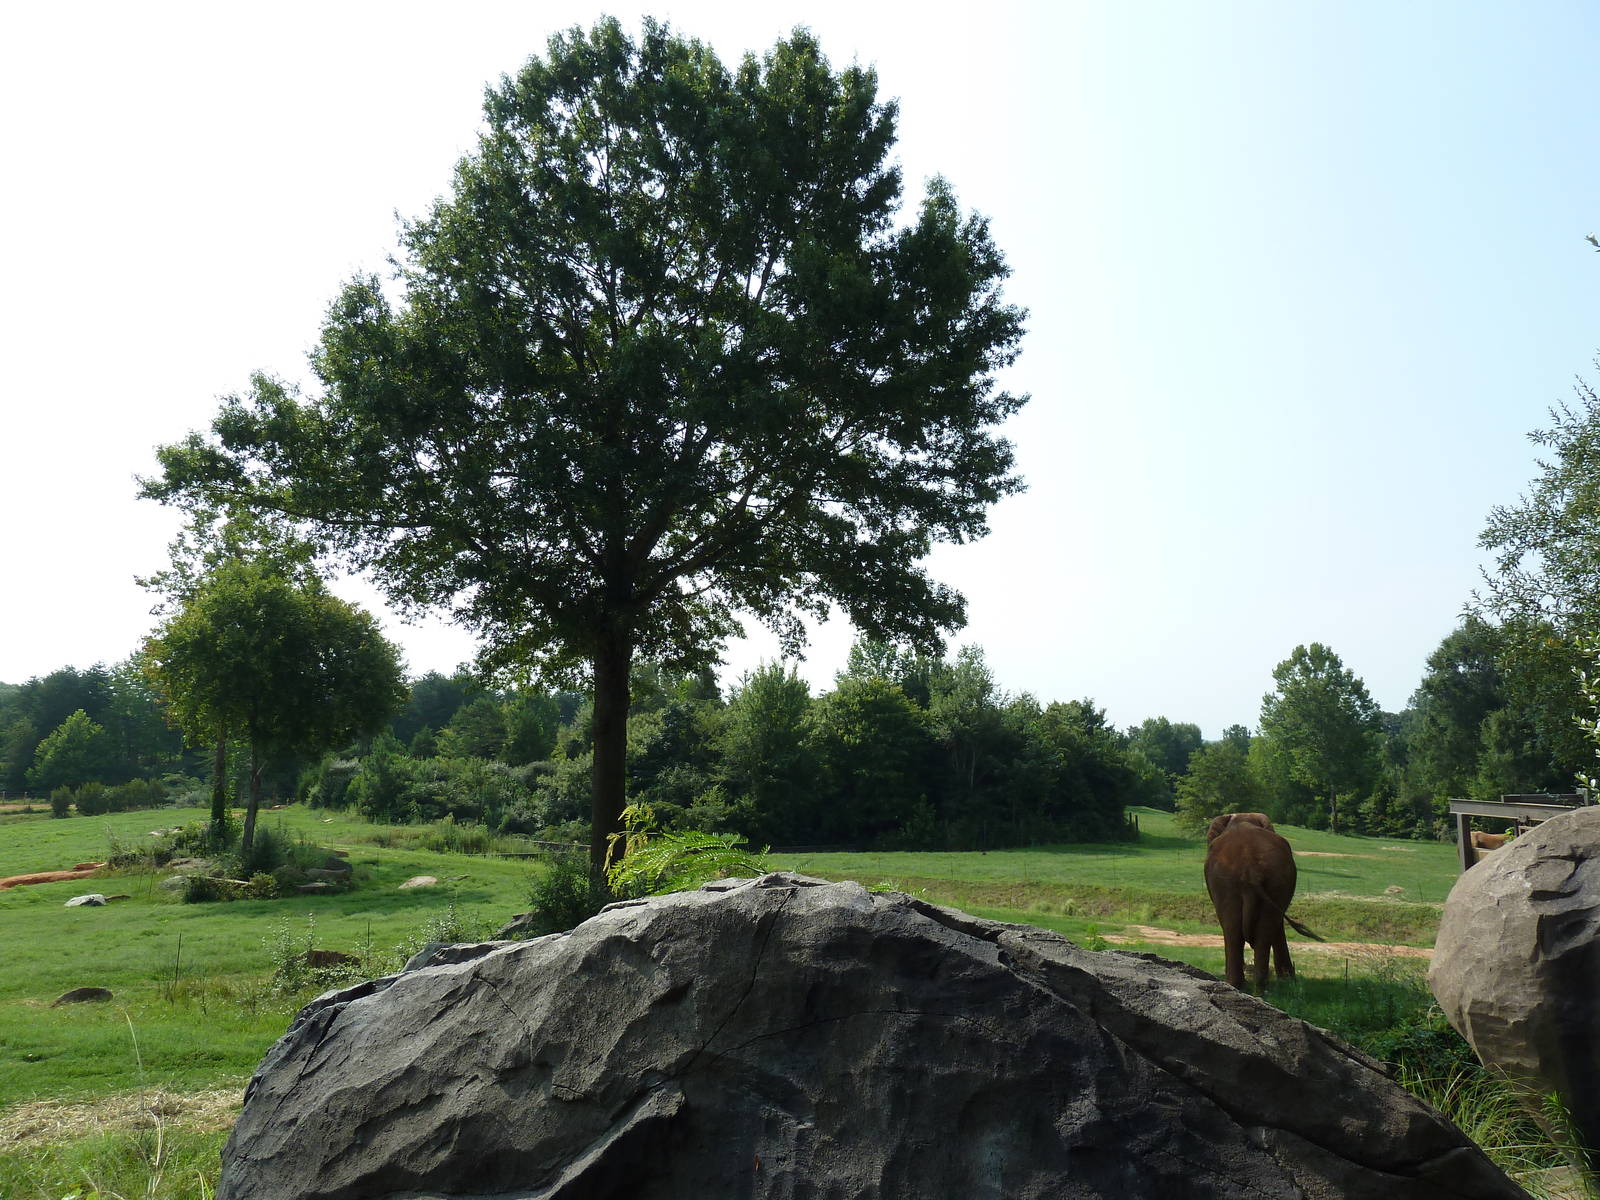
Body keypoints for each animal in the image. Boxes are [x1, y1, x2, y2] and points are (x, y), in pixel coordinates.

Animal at [1204, 812, 1322, 991]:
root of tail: (1250, 869)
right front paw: (1287, 980)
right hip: (1269, 880)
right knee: (1257, 930)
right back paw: (1256, 988)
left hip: (1229, 883)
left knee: (1238, 930)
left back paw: (1246, 987)